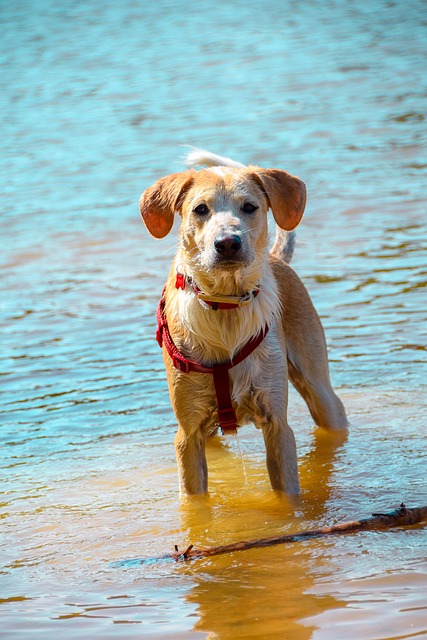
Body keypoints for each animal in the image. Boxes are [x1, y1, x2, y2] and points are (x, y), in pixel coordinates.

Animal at [140, 149, 348, 496]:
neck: (225, 307)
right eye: (200, 209)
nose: (227, 243)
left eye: (250, 207)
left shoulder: (277, 423)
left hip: (318, 386)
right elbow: (194, 498)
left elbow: (287, 495)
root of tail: (276, 258)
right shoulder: (188, 432)